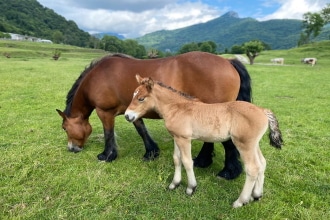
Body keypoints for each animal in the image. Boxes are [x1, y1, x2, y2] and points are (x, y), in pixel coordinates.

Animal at [57, 51, 253, 180]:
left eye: (64, 128)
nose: (72, 148)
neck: (98, 77)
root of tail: (228, 62)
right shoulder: (132, 110)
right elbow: (142, 130)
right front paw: (151, 152)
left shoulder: (104, 112)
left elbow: (108, 133)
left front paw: (107, 155)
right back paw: (202, 161)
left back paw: (228, 172)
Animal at [124, 75, 284, 208]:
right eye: (133, 95)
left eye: (141, 98)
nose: (127, 116)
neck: (177, 108)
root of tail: (263, 111)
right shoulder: (177, 137)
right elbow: (176, 159)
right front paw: (174, 184)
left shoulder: (185, 139)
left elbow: (187, 162)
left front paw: (191, 188)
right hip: (253, 144)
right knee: (262, 164)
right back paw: (256, 195)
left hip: (244, 144)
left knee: (252, 168)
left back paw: (240, 201)